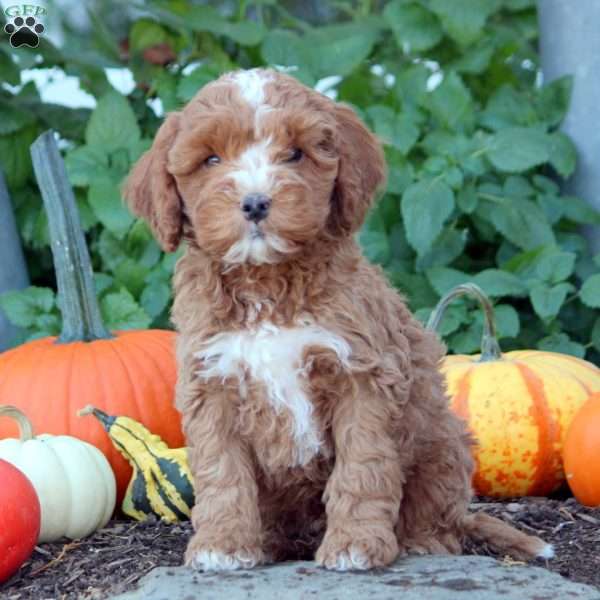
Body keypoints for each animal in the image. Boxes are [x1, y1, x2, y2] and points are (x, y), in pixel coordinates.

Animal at [123, 68, 552, 568]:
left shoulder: (362, 375)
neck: (268, 283)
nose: (255, 202)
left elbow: (362, 467)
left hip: (442, 442)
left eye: (295, 154)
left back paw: (421, 541)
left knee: (439, 510)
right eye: (211, 159)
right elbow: (222, 472)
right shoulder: (212, 383)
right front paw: (223, 544)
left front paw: (355, 543)